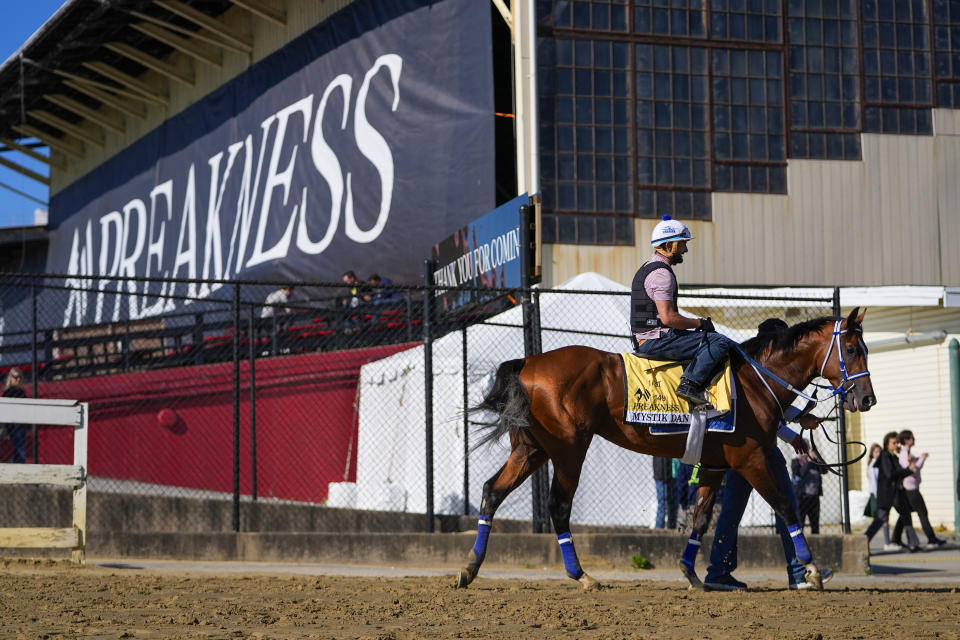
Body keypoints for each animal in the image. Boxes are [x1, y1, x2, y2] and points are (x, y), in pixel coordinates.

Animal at [454, 308, 872, 592]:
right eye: (852, 348)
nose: (868, 398)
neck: (754, 381)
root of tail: (529, 361)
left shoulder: (715, 465)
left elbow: (701, 519)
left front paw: (691, 573)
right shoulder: (750, 459)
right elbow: (785, 506)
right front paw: (812, 570)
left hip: (532, 449)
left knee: (492, 491)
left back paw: (470, 567)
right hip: (569, 450)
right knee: (558, 505)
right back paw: (581, 575)